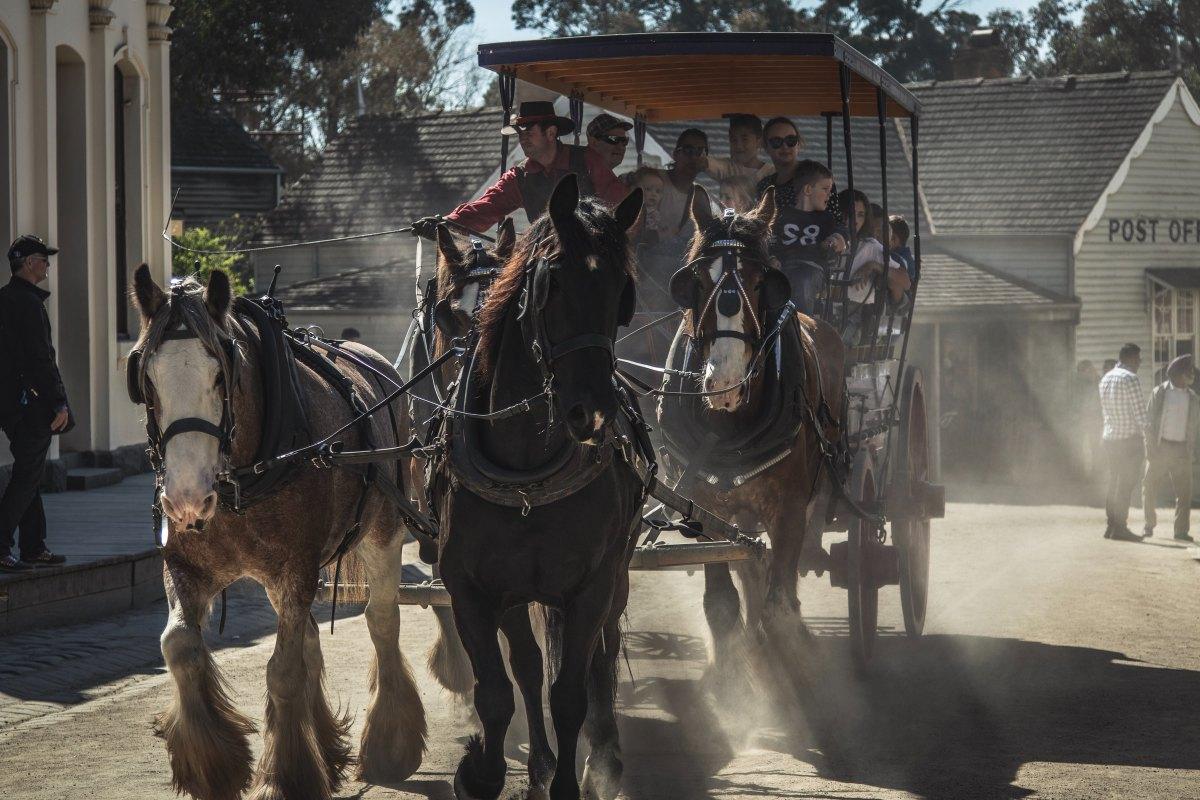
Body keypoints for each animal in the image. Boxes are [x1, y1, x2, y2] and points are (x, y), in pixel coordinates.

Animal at [131, 267, 427, 800]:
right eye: (146, 377)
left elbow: (283, 671)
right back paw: (327, 744)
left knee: (381, 621)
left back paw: (389, 744)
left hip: (383, 532)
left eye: (221, 373)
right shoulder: (186, 566)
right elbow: (179, 647)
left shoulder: (297, 568)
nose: (185, 498)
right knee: (308, 635)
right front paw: (213, 764)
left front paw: (287, 775)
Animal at [434, 176, 648, 800]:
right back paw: (541, 765)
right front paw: (482, 770)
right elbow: (496, 690)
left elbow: (571, 692)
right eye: (553, 282)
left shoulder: (591, 587)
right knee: (528, 666)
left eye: (621, 293)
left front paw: (572, 781)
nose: (594, 414)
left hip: (615, 575)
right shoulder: (472, 589)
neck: (527, 471)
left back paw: (604, 756)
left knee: (601, 656)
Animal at [657, 190, 844, 671]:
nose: (724, 382)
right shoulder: (703, 507)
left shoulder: (791, 509)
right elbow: (723, 603)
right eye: (695, 282)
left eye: (762, 282)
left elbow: (779, 605)